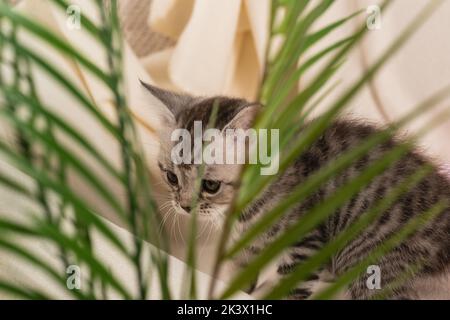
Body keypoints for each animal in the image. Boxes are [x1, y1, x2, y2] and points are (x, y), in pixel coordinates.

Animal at [143, 82, 450, 300]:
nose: (184, 206)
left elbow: (291, 287)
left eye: (210, 185)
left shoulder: (306, 243)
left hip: (370, 259)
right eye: (171, 177)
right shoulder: (250, 244)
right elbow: (242, 270)